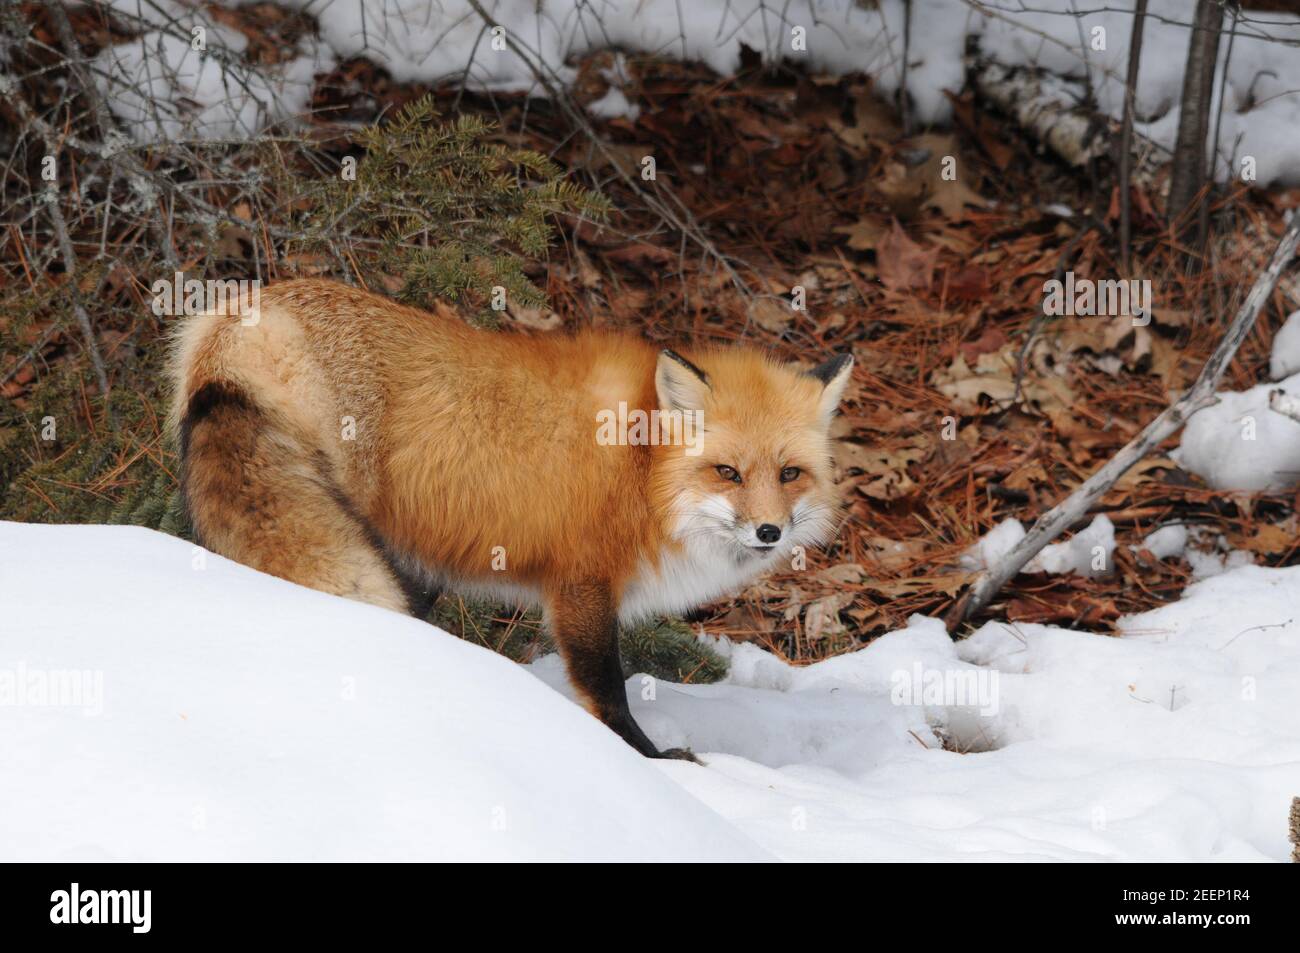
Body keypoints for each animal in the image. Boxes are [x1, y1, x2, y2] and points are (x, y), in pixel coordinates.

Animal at [167, 276, 857, 759]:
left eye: (790, 474)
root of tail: (249, 312)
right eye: (728, 473)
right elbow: (607, 690)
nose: (769, 531)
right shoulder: (581, 583)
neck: (642, 469)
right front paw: (652, 761)